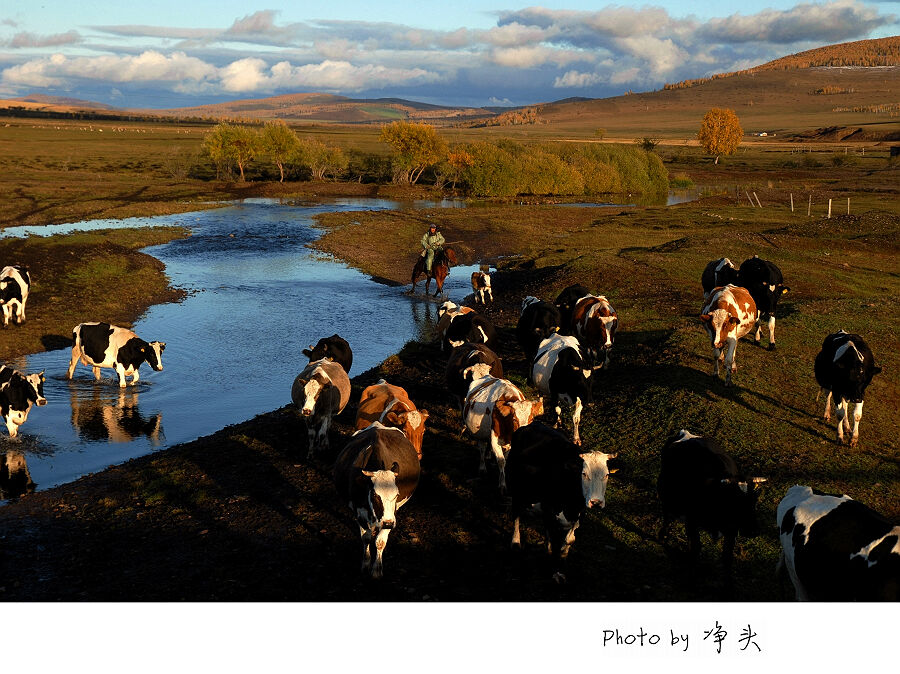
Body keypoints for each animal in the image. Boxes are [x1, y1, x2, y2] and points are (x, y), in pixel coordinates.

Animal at [334, 422, 422, 576]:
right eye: (375, 495)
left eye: (396, 495)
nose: (387, 523)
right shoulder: (359, 512)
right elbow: (366, 538)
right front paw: (365, 563)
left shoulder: (392, 514)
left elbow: (380, 542)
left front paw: (376, 569)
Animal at [510, 422, 616, 580]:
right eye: (584, 474)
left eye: (606, 475)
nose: (596, 502)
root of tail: (532, 425)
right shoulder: (549, 508)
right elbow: (554, 540)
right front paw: (554, 571)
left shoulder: (580, 512)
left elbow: (569, 540)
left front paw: (562, 560)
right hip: (515, 490)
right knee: (516, 514)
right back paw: (515, 542)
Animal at [652, 430, 768, 568]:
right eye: (734, 502)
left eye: (754, 501)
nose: (754, 531)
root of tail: (686, 433)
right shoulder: (691, 522)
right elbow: (696, 548)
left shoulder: (731, 531)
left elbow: (727, 557)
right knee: (667, 515)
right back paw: (662, 534)